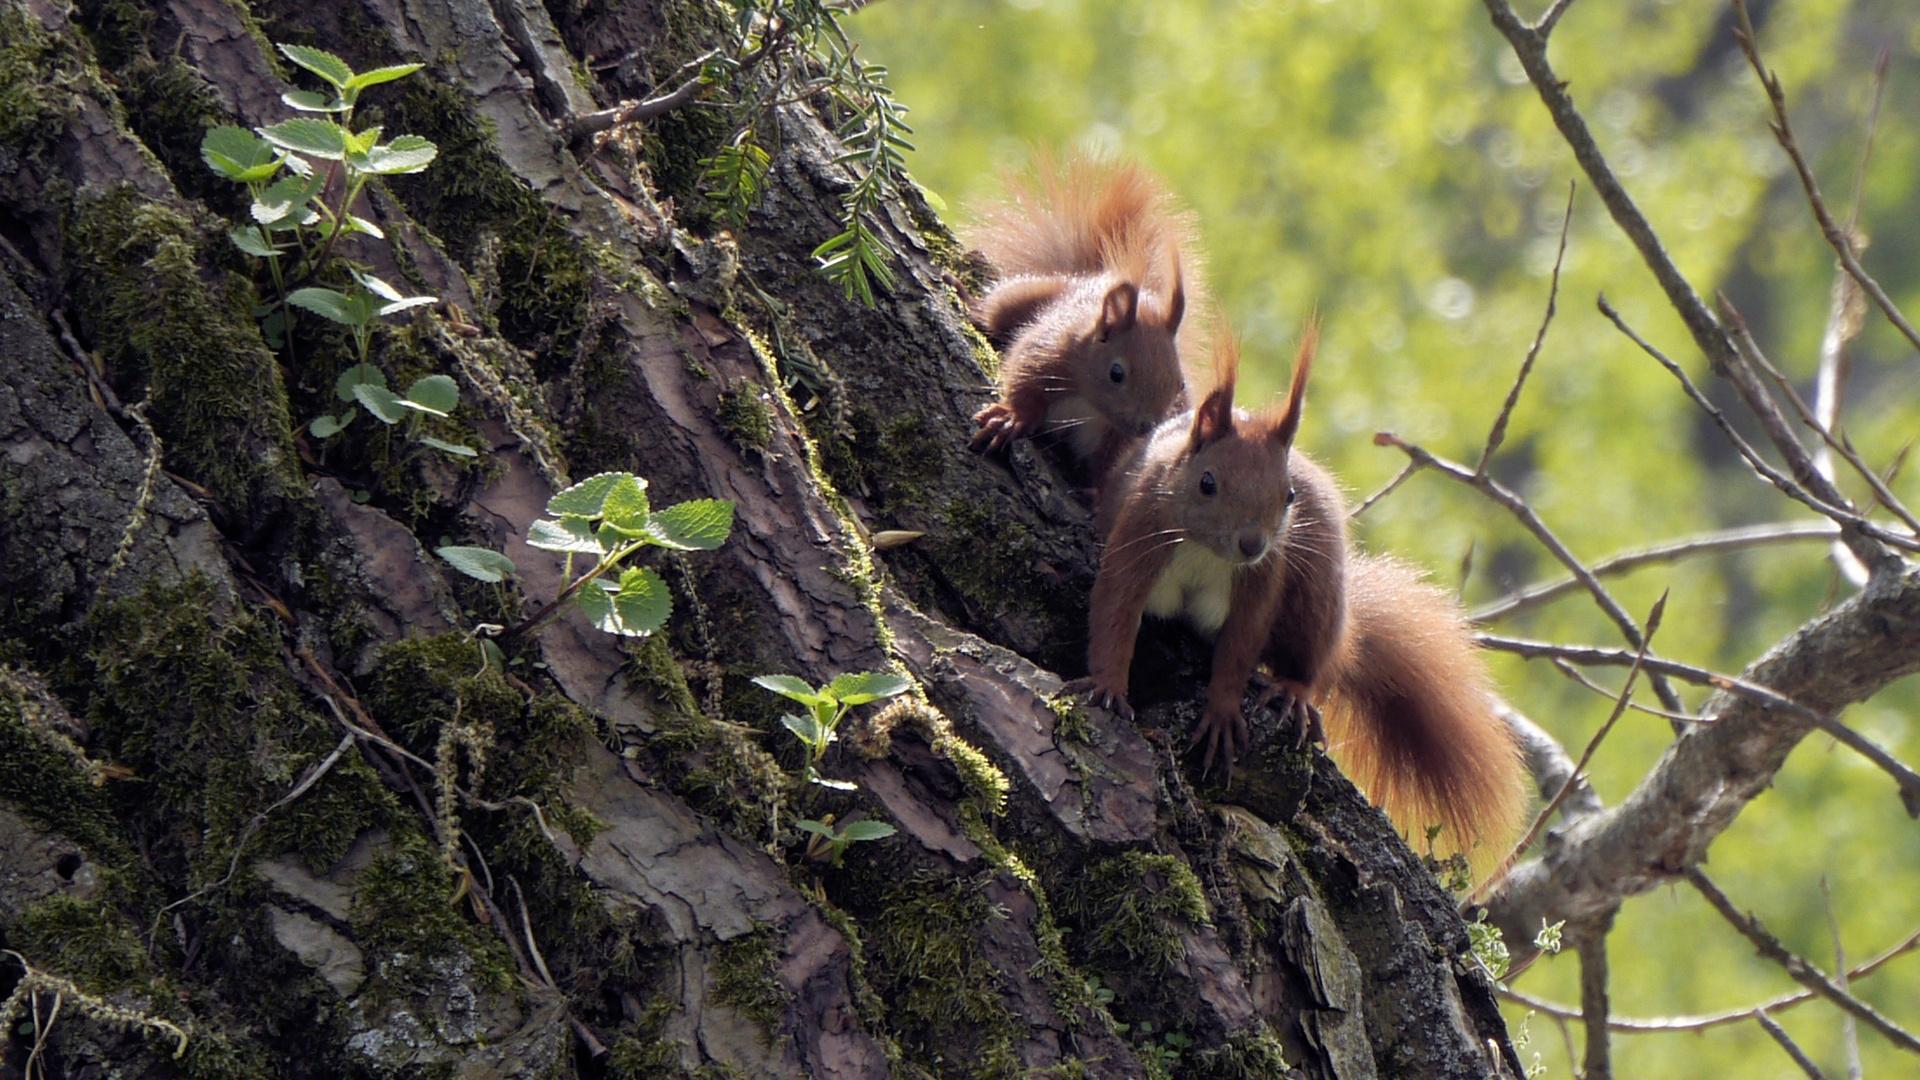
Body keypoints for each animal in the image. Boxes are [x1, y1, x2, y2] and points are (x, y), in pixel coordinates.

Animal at [975, 148, 1198, 476]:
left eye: (1180, 383)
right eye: (1116, 373)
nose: (1146, 426)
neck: (1089, 403)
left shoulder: (1114, 436)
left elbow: (1108, 463)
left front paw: (1092, 486)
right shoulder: (1050, 350)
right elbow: (1023, 376)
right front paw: (1013, 417)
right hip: (1021, 296)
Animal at [1075, 322, 1520, 853]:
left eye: (1287, 496)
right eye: (1207, 482)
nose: (1252, 542)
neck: (1208, 551)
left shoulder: (1265, 574)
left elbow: (1242, 643)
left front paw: (1222, 712)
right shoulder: (1140, 530)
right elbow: (1115, 607)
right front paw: (1107, 687)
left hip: (1316, 592)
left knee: (1311, 655)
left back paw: (1294, 691)